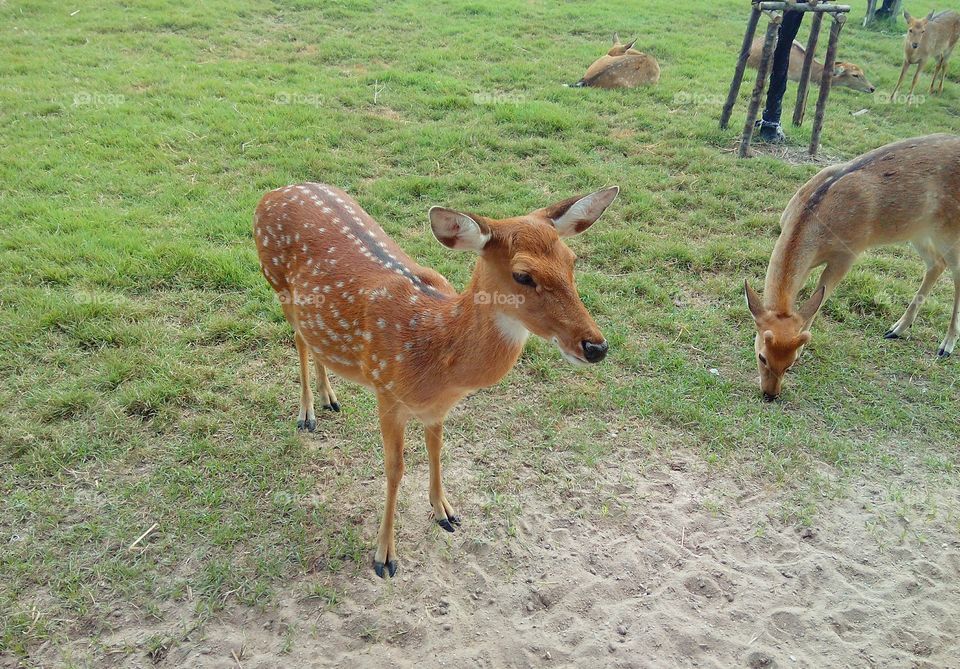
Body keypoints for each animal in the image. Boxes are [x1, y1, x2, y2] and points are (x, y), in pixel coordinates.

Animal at [255, 181, 616, 576]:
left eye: (572, 261)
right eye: (523, 275)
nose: (596, 346)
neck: (437, 351)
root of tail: (274, 192)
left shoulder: (438, 408)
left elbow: (437, 449)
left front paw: (444, 510)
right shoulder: (385, 388)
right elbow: (394, 469)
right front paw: (384, 556)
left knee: (310, 339)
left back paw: (328, 397)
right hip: (277, 283)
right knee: (298, 339)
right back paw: (307, 413)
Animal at [748, 133, 960, 400]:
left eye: (791, 362)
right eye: (762, 356)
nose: (770, 393)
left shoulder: (847, 254)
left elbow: (819, 299)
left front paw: (805, 345)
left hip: (950, 229)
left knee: (956, 273)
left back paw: (946, 346)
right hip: (918, 230)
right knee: (936, 264)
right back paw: (896, 329)